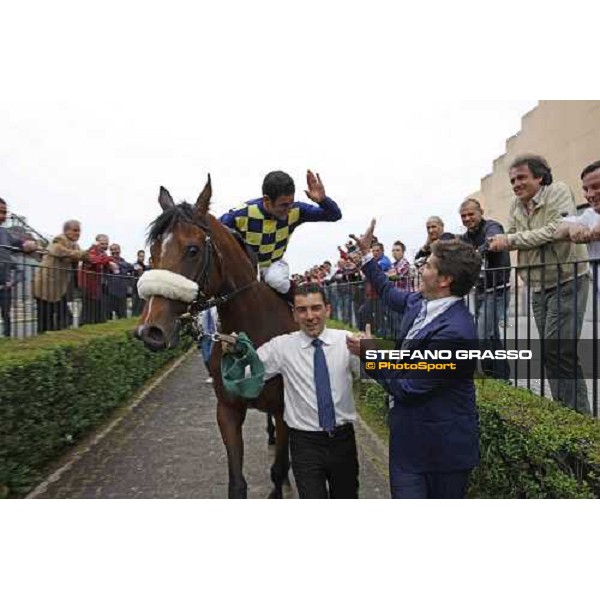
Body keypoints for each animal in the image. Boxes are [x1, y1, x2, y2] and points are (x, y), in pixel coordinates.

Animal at [135, 176, 296, 500]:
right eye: (154, 250)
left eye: (193, 249)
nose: (151, 330)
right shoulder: (227, 410)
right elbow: (236, 484)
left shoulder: (284, 407)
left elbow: (277, 469)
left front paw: (281, 479)